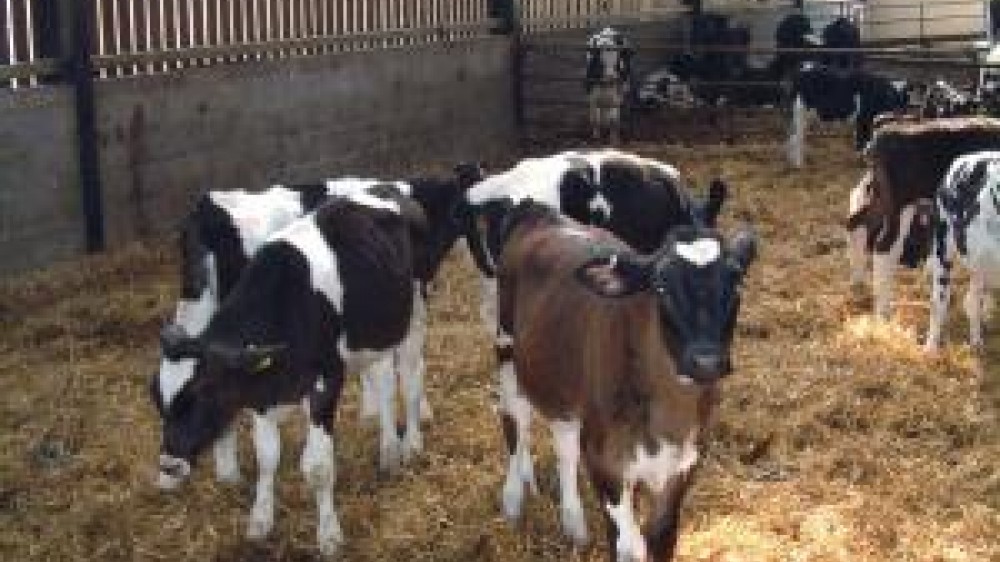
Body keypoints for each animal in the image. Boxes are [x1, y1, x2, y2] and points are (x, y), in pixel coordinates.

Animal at [153, 194, 422, 556]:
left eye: (206, 391)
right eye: (158, 399)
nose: (169, 465)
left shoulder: (326, 383)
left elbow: (319, 468)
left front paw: (329, 536)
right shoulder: (259, 395)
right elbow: (267, 458)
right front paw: (260, 520)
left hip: (414, 314)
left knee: (410, 378)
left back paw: (412, 445)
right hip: (372, 335)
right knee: (384, 383)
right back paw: (389, 452)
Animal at [492, 201, 756, 560]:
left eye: (737, 281)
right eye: (660, 285)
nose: (706, 360)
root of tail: (538, 211)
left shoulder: (682, 466)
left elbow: (661, 539)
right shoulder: (606, 463)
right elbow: (629, 546)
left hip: (566, 387)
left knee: (564, 443)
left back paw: (574, 525)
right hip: (506, 351)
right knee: (514, 424)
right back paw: (512, 502)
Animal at [848, 117, 1000, 320]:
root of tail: (881, 136)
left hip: (882, 197)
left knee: (855, 224)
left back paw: (858, 281)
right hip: (900, 204)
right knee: (885, 249)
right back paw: (883, 312)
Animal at [920, 149, 1000, 350]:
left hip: (978, 262)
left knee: (972, 299)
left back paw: (976, 342)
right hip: (943, 247)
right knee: (939, 301)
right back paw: (930, 348)